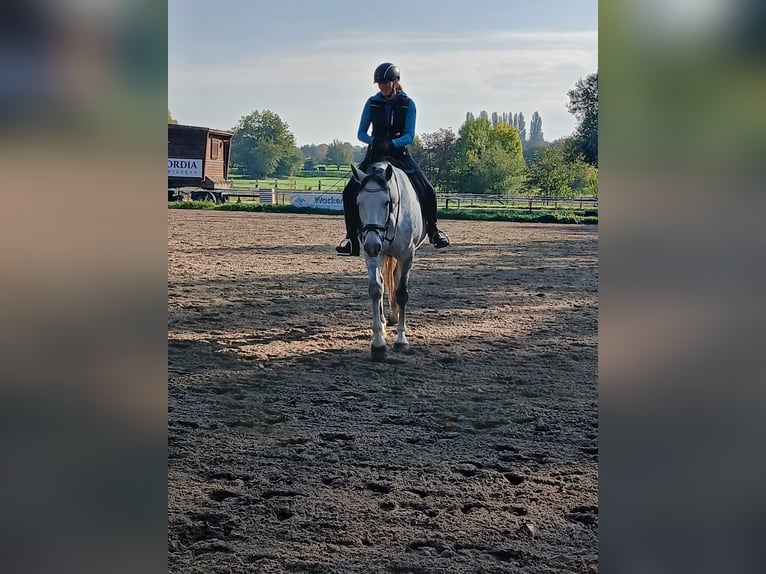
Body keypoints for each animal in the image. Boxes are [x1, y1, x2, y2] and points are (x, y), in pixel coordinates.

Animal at [351, 160, 428, 361]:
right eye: (358, 202)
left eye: (386, 202)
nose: (371, 245)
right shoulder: (373, 255)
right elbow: (376, 289)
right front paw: (378, 343)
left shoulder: (407, 256)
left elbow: (401, 294)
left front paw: (401, 340)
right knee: (385, 280)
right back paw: (386, 321)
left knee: (395, 278)